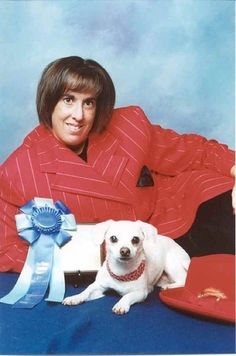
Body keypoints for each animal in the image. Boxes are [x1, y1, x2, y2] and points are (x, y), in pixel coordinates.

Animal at [62, 220, 190, 314]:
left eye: (135, 239)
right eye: (113, 238)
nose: (124, 251)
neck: (121, 273)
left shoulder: (140, 293)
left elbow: (128, 296)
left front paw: (121, 304)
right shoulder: (98, 287)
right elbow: (87, 290)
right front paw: (75, 297)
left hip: (171, 264)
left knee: (183, 279)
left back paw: (169, 287)